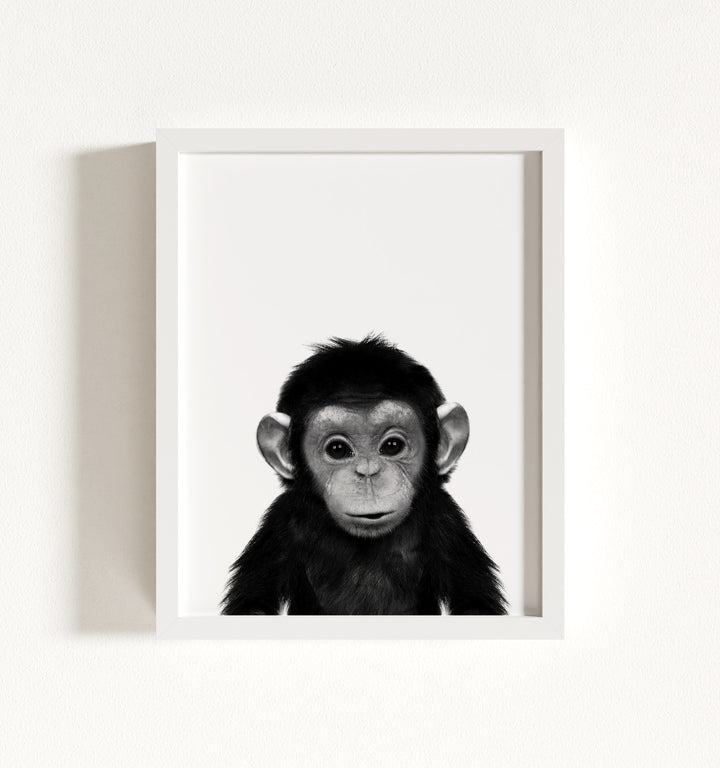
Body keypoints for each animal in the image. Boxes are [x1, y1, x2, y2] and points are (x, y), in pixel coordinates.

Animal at [221, 335, 506, 615]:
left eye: (392, 446)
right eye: (337, 449)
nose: (368, 472)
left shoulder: (447, 520)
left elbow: (475, 603)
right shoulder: (280, 523)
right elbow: (253, 604)